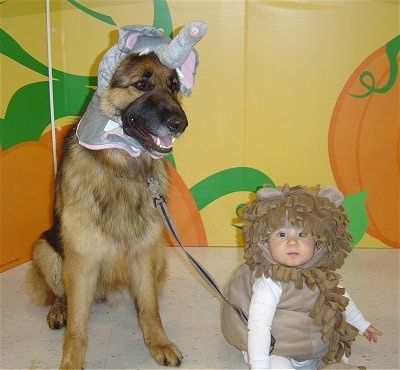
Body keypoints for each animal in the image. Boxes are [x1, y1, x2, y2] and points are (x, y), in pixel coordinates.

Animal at [27, 50, 189, 368]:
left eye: (174, 86)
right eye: (140, 84)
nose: (180, 123)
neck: (121, 168)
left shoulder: (144, 251)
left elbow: (150, 307)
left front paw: (158, 342)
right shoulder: (82, 259)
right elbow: (78, 327)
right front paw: (71, 361)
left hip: (159, 253)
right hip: (45, 250)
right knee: (61, 295)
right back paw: (59, 310)